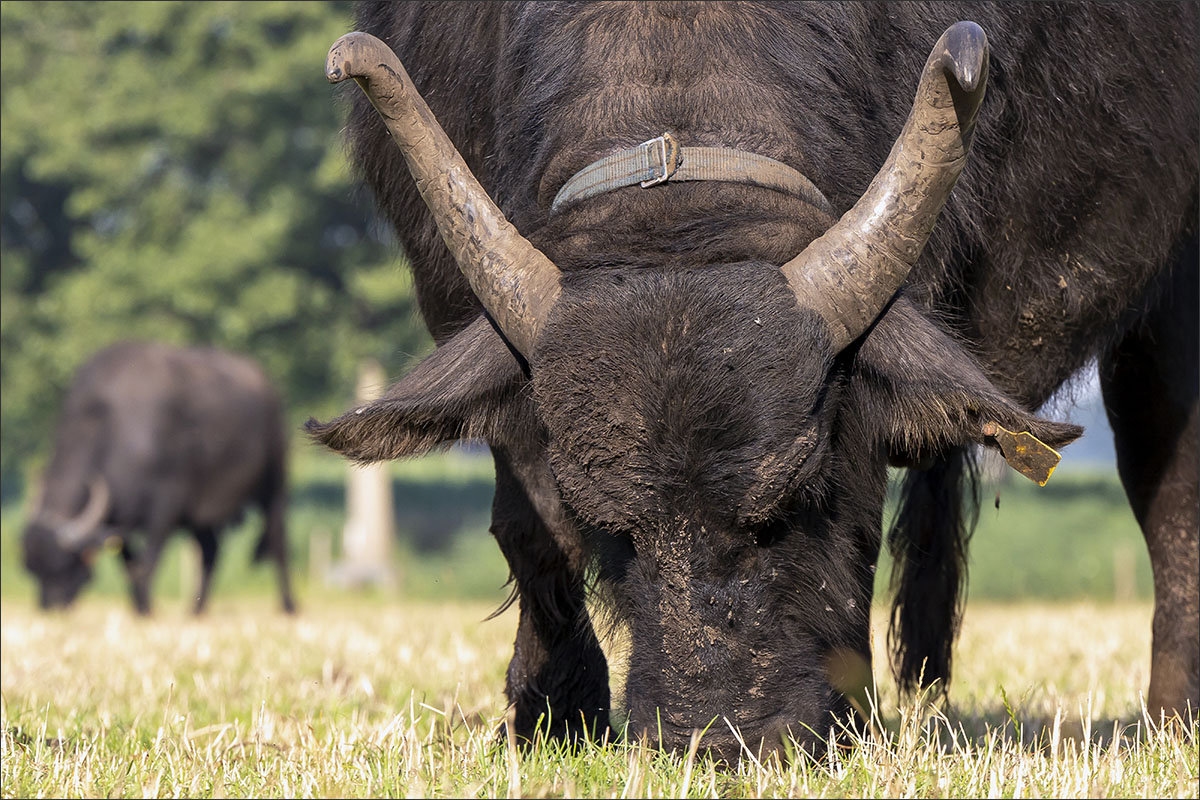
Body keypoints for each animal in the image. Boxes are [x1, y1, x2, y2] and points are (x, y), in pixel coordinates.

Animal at [24, 343, 295, 614]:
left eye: (62, 565)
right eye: (31, 568)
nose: (48, 607)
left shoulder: (166, 506)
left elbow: (147, 563)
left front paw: (146, 610)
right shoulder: (120, 521)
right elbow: (130, 568)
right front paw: (140, 607)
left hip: (273, 481)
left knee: (277, 540)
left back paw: (288, 606)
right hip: (201, 515)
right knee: (210, 552)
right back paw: (196, 611)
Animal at [312, 1, 1200, 758]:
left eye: (797, 499)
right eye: (609, 524)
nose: (717, 738)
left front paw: (845, 722)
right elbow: (533, 527)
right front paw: (553, 713)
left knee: (1172, 490)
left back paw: (1172, 718)